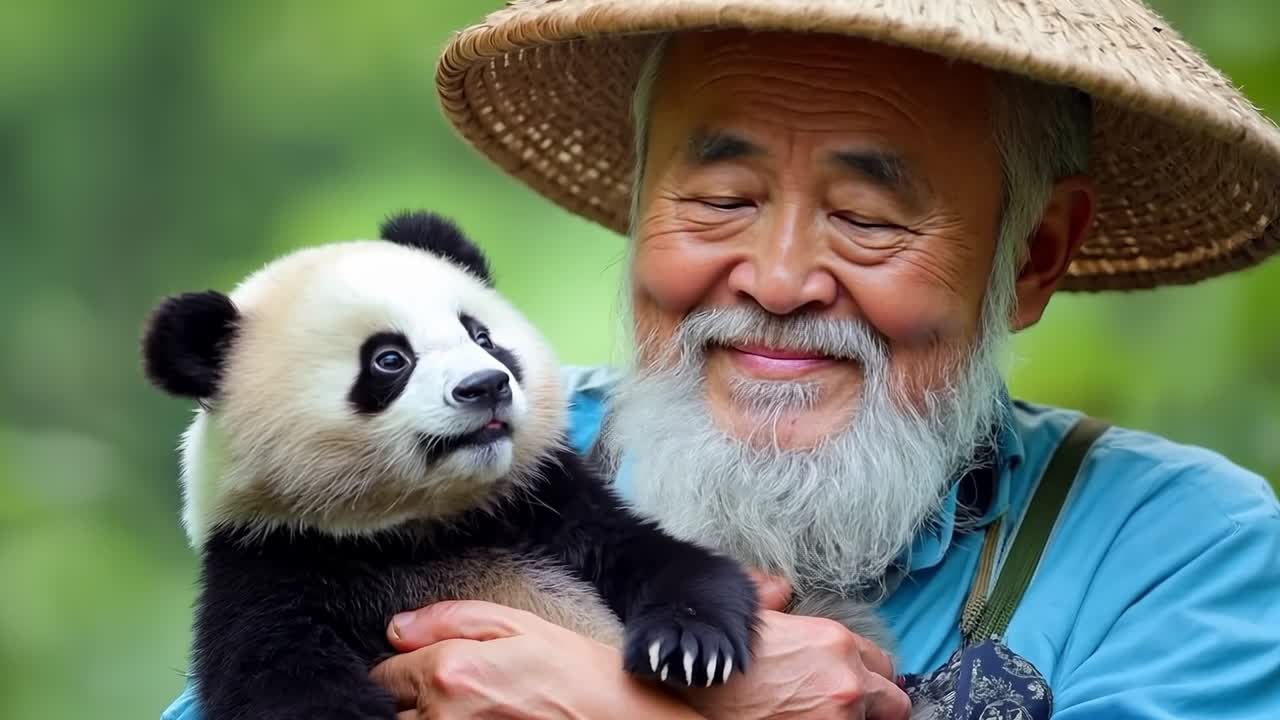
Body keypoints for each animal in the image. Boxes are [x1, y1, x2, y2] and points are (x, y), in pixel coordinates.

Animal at [140, 210, 760, 719]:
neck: (422, 526)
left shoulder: (544, 507)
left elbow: (667, 560)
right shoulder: (272, 562)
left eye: (481, 336)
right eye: (389, 359)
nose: (485, 385)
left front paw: (686, 647)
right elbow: (281, 682)